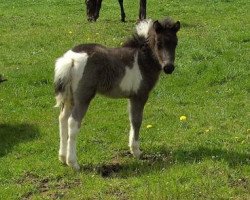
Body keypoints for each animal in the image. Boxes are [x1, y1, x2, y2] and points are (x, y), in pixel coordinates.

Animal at [54, 17, 180, 170]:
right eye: (159, 43)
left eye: (175, 43)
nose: (169, 68)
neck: (142, 60)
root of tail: (70, 59)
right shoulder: (140, 96)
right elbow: (137, 120)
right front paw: (137, 152)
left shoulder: (131, 97)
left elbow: (132, 119)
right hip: (83, 98)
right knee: (73, 122)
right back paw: (73, 163)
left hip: (69, 98)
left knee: (62, 119)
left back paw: (62, 157)